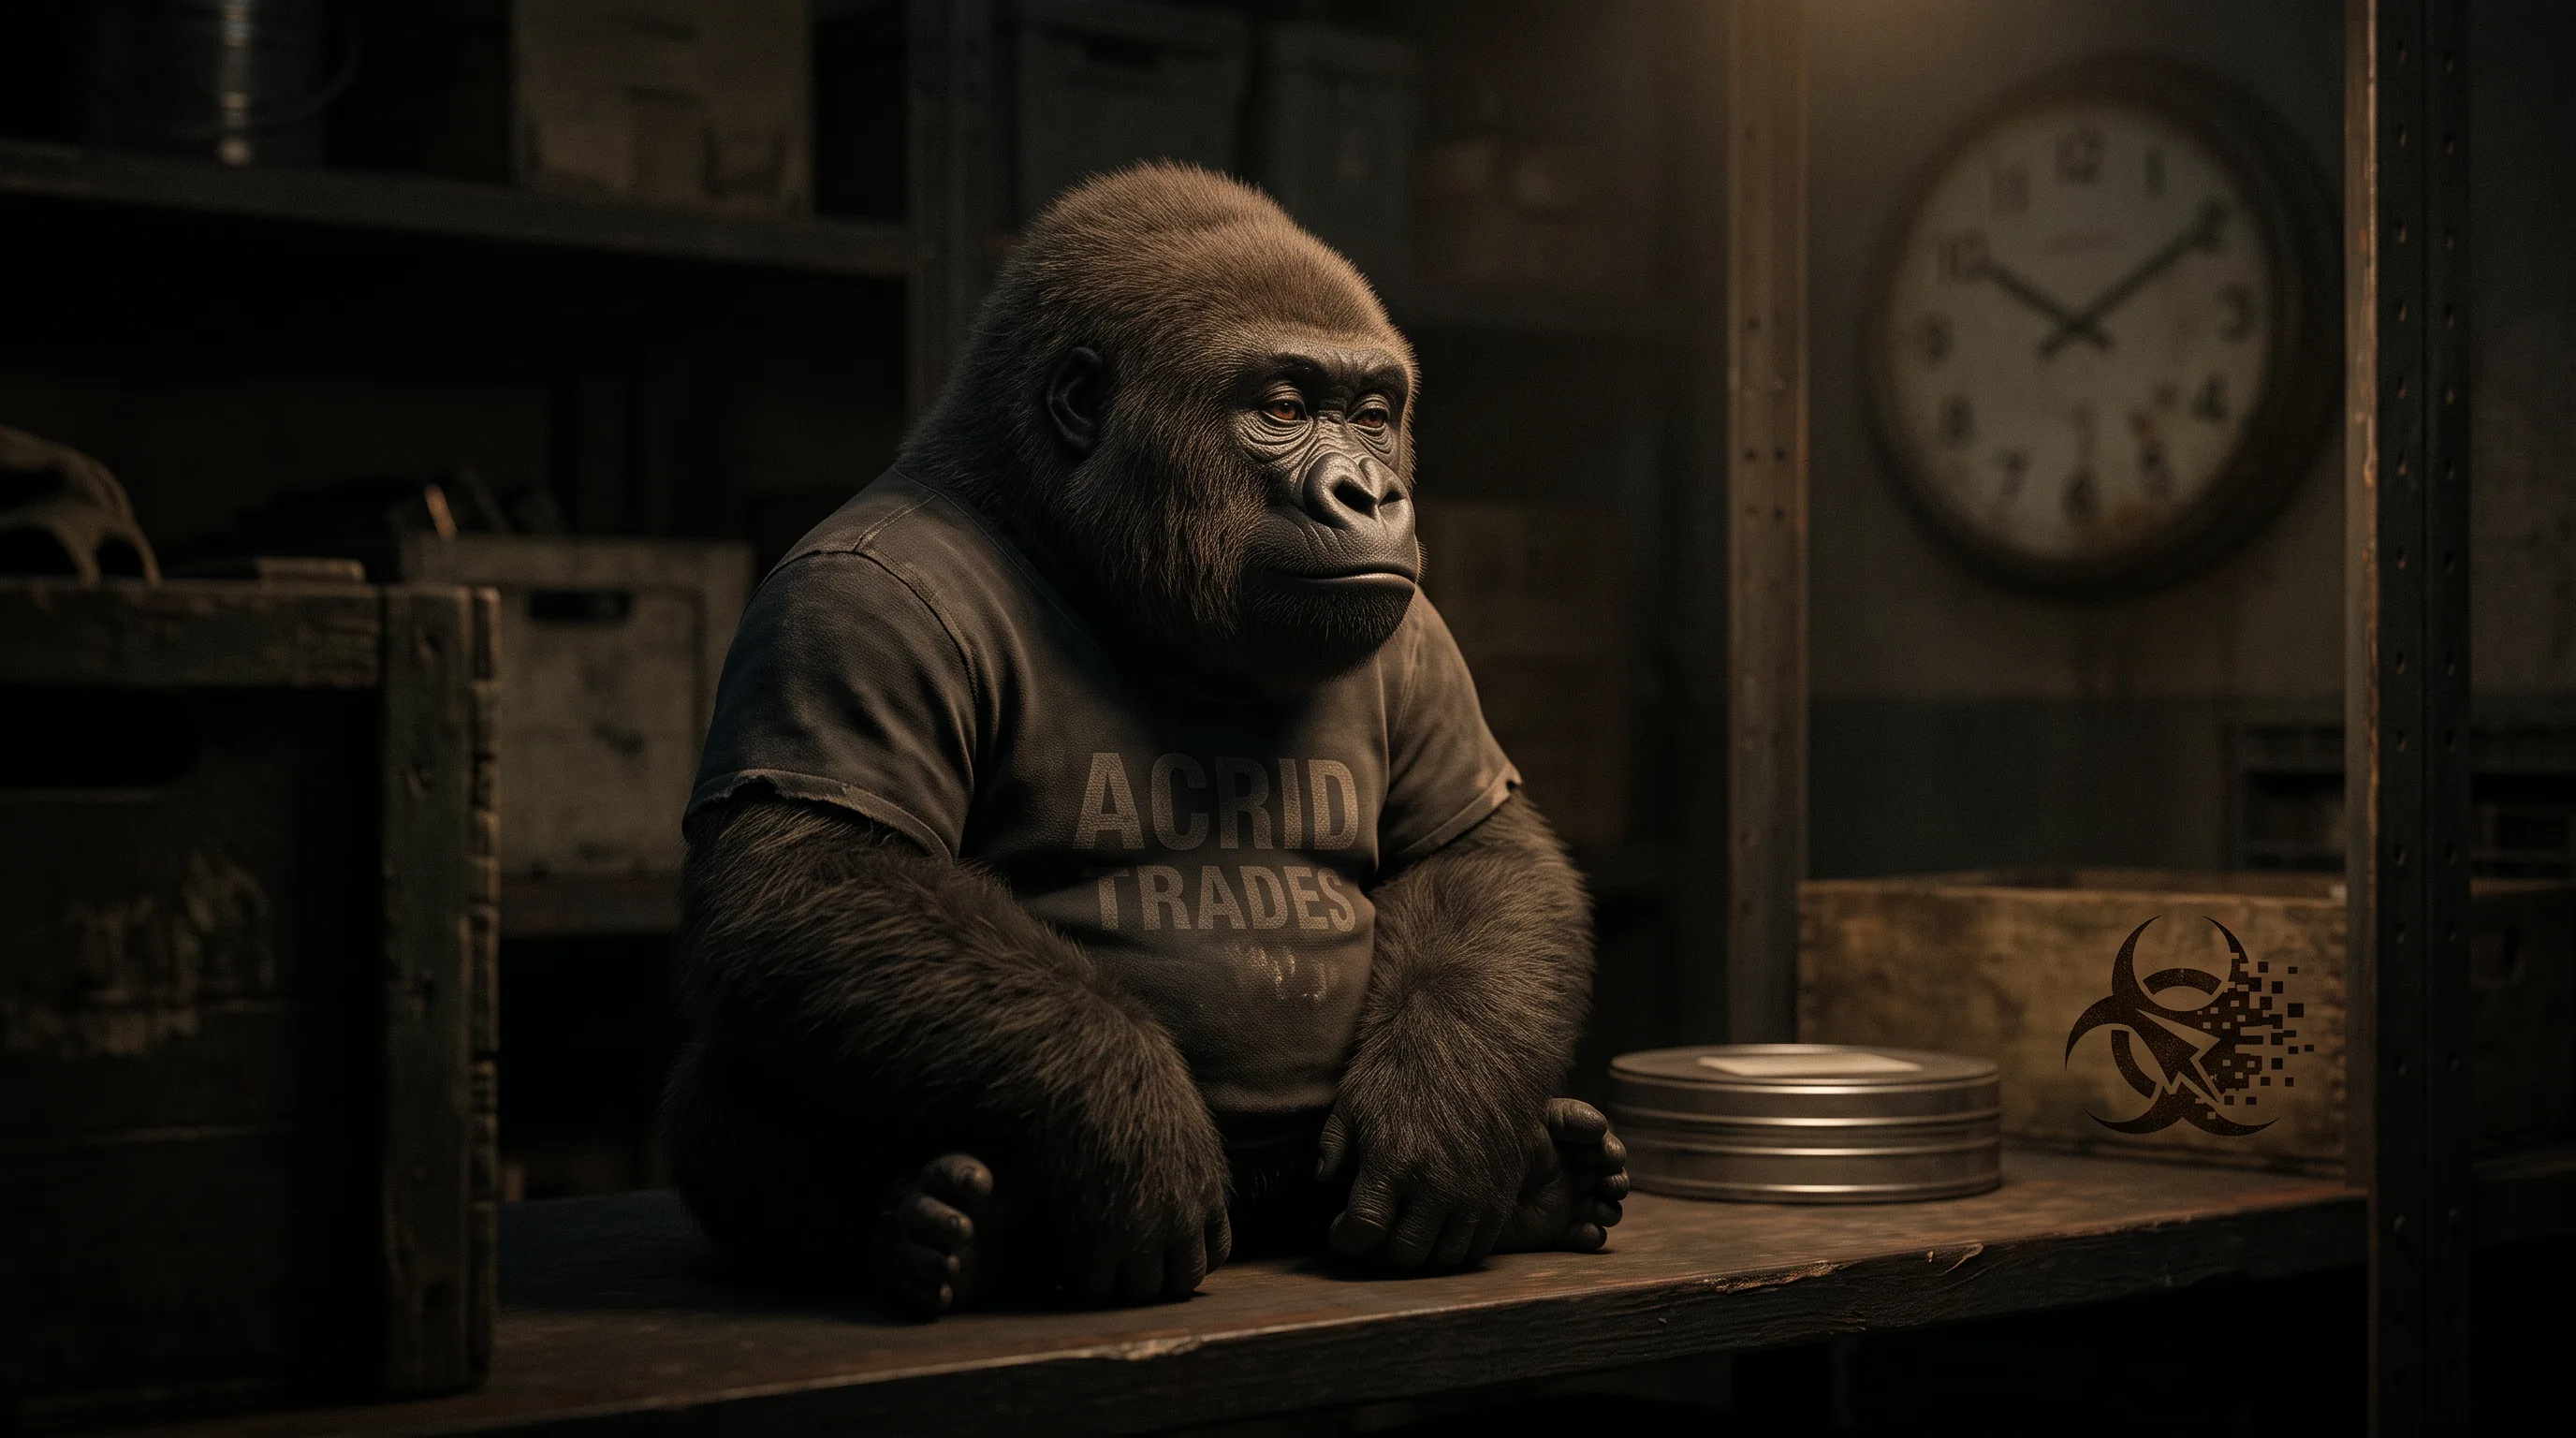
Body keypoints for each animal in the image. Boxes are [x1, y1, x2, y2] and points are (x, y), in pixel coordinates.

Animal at [668, 163, 1627, 1317]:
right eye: (1283, 408)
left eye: (1372, 415)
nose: (1372, 491)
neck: (1053, 529)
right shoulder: (852, 597)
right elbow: (814, 876)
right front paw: (1124, 1120)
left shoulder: (1418, 629)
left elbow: (1474, 851)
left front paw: (1444, 1111)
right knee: (722, 1081)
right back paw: (925, 1227)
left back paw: (1547, 1176)